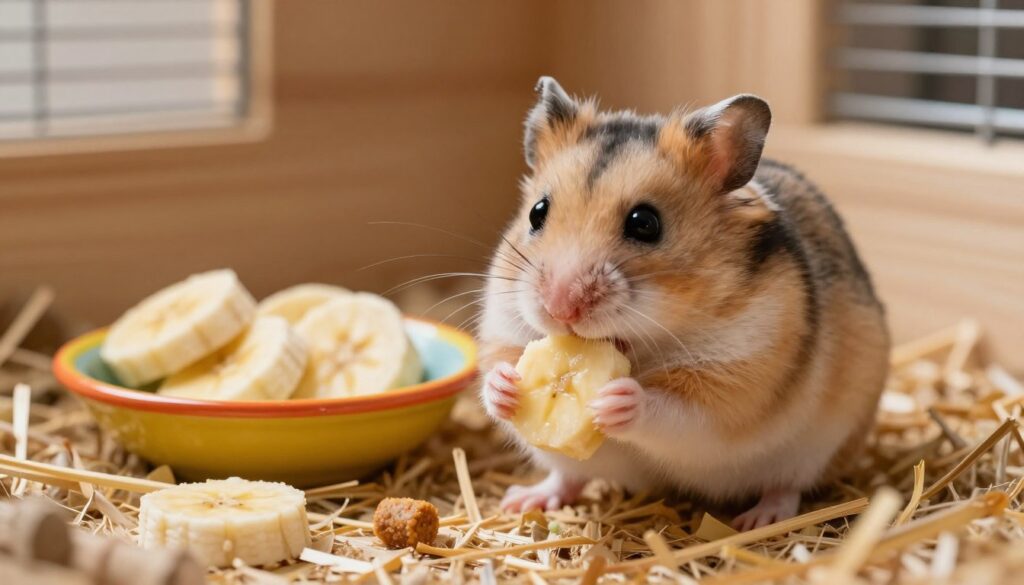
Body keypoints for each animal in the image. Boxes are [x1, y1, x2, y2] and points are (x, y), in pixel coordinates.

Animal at [478, 76, 890, 530]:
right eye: (537, 212)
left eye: (645, 223)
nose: (559, 309)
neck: (644, 343)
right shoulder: (504, 327)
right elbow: (494, 374)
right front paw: (505, 385)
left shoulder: (735, 380)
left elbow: (676, 412)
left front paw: (618, 399)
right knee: (567, 477)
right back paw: (522, 500)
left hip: (815, 448)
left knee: (788, 486)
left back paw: (758, 519)